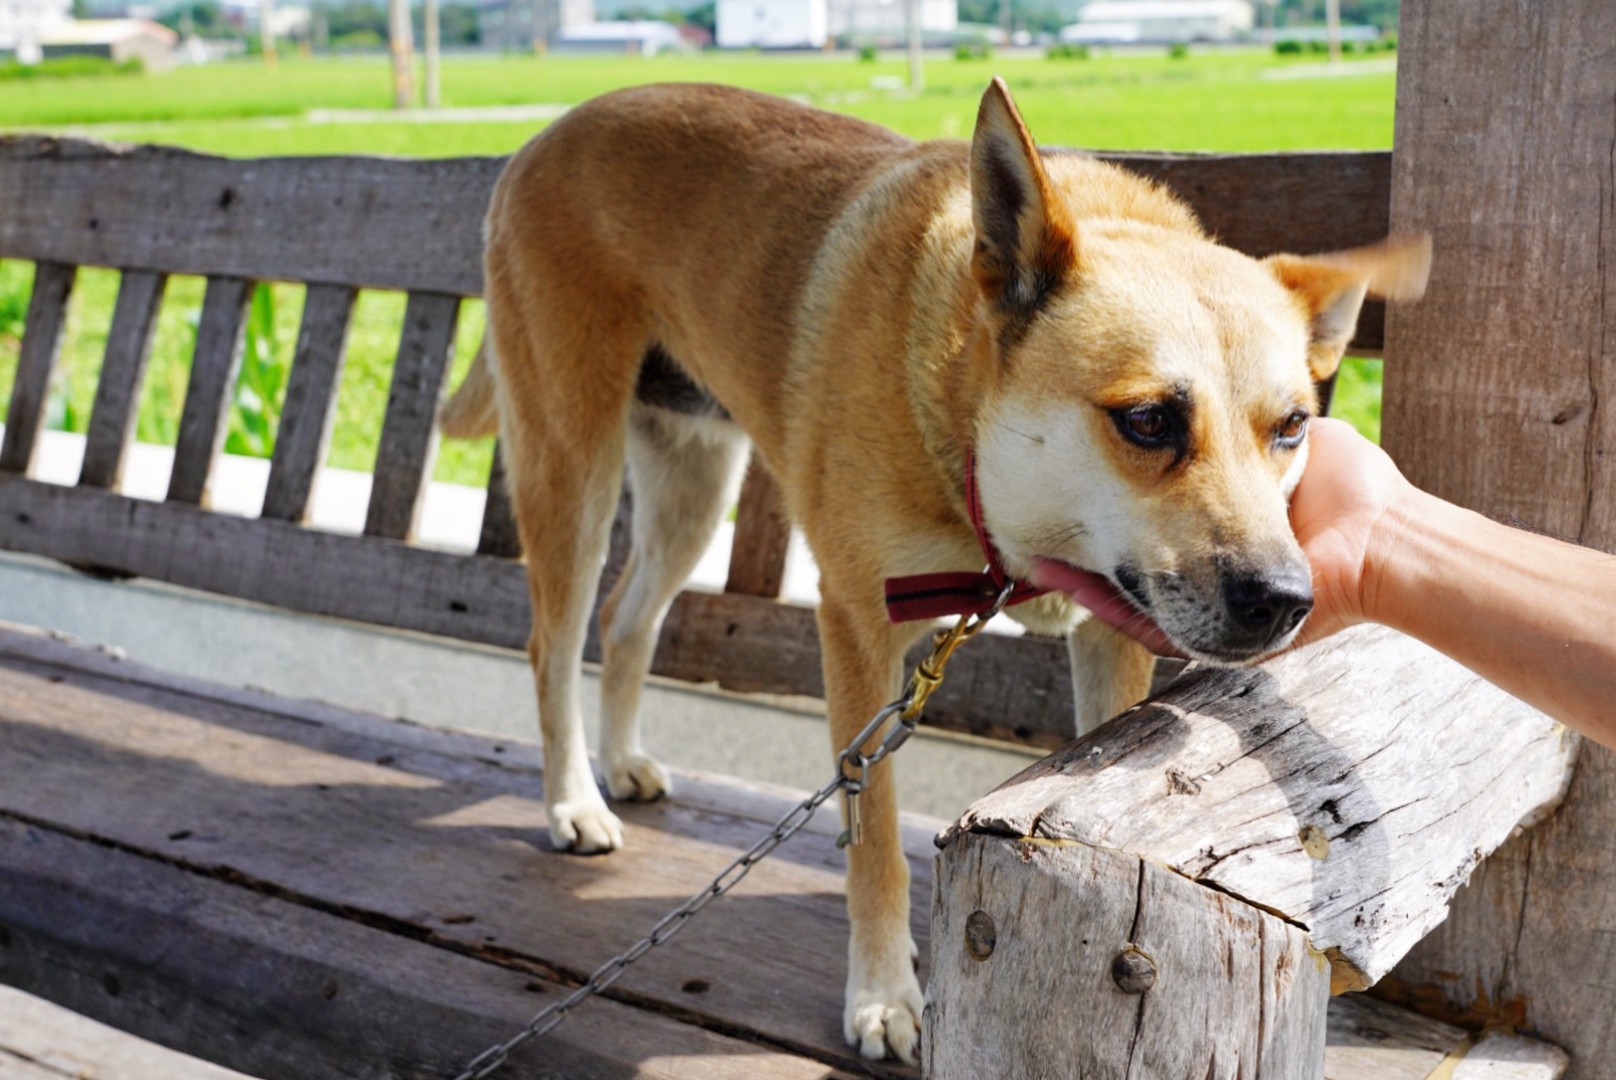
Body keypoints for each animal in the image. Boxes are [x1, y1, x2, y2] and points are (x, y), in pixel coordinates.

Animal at [442, 78, 1428, 1060]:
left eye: (1292, 426)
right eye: (1148, 421)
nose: (1285, 600)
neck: (971, 439)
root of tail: (548, 135)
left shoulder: (1109, 632)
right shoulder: (858, 627)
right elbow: (875, 837)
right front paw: (883, 993)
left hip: (691, 485)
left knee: (627, 620)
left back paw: (618, 763)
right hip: (573, 467)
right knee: (554, 643)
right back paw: (573, 802)